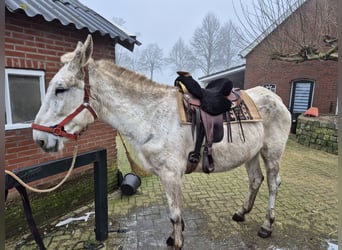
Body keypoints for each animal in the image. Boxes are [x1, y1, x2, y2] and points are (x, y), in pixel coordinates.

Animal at [32, 35, 292, 250]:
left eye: (60, 89)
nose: (40, 139)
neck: (152, 116)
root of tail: (275, 97)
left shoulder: (171, 174)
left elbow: (175, 214)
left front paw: (176, 242)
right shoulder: (165, 175)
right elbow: (173, 212)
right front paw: (173, 236)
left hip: (272, 153)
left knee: (273, 183)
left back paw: (267, 226)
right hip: (251, 153)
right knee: (255, 180)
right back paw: (241, 212)